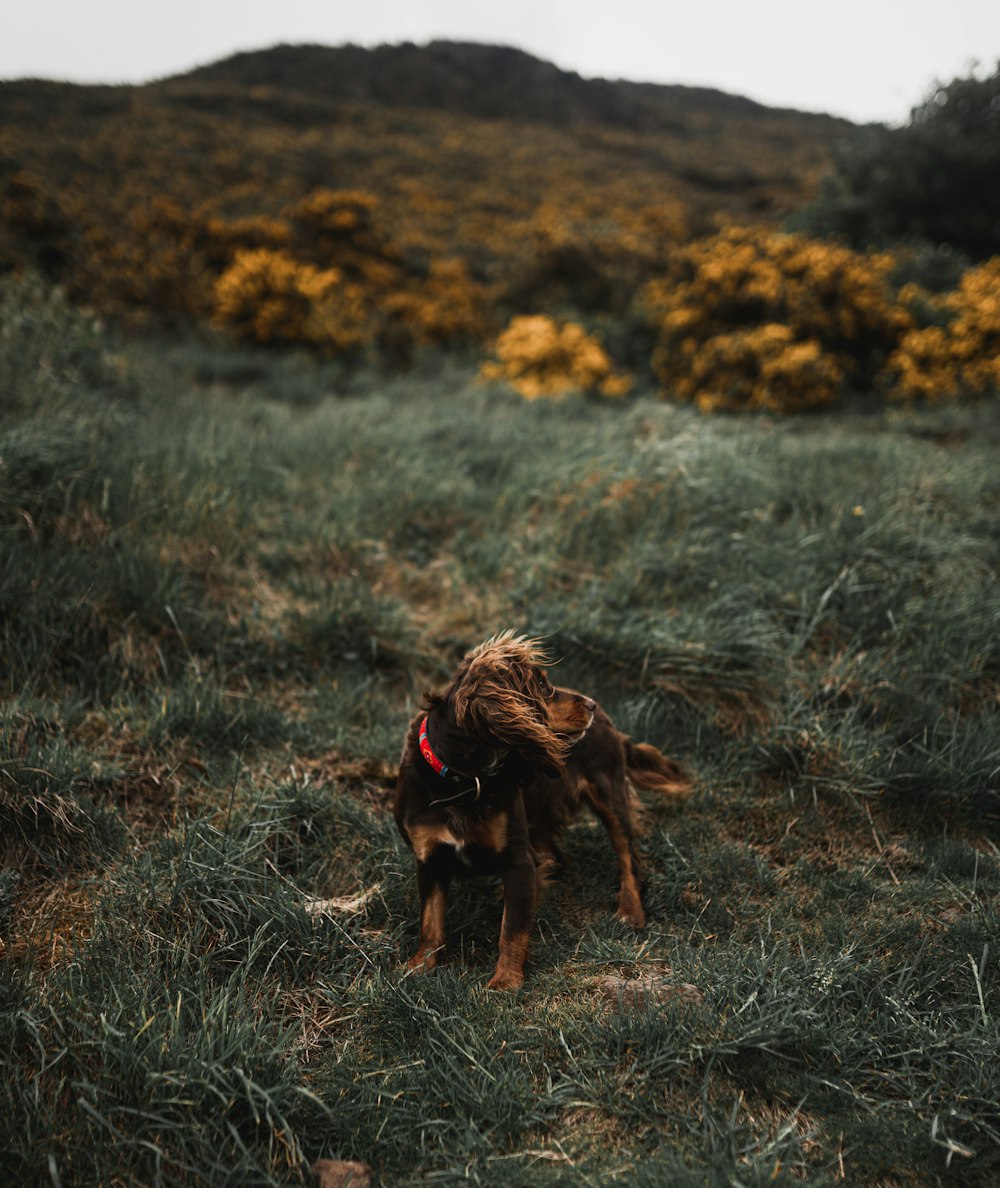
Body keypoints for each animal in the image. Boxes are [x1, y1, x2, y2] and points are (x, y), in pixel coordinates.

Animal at [394, 636, 684, 988]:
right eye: (543, 687)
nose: (592, 704)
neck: (463, 779)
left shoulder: (518, 859)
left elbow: (512, 928)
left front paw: (505, 981)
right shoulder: (430, 859)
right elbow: (430, 922)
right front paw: (419, 966)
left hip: (610, 794)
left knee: (627, 856)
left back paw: (631, 910)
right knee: (556, 857)